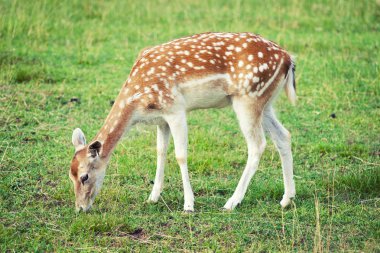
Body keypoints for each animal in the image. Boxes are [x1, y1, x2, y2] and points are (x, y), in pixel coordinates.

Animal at [69, 32, 296, 213]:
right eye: (70, 175)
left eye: (84, 176)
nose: (80, 208)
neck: (138, 102)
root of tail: (289, 59)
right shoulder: (161, 119)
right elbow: (160, 152)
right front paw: (152, 197)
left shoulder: (175, 109)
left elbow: (180, 155)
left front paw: (188, 205)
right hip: (265, 103)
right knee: (284, 135)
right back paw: (287, 199)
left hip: (248, 98)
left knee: (258, 145)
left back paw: (232, 202)